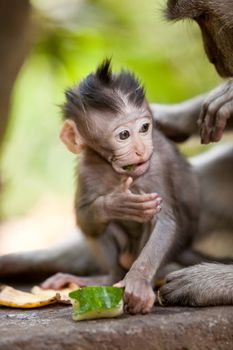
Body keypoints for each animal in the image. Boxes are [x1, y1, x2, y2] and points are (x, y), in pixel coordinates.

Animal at [41, 60, 198, 314]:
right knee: (98, 229)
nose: (141, 150)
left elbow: (165, 221)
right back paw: (105, 278)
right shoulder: (86, 168)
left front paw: (138, 281)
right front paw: (116, 204)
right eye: (124, 134)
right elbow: (84, 216)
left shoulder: (156, 164)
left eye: (144, 128)